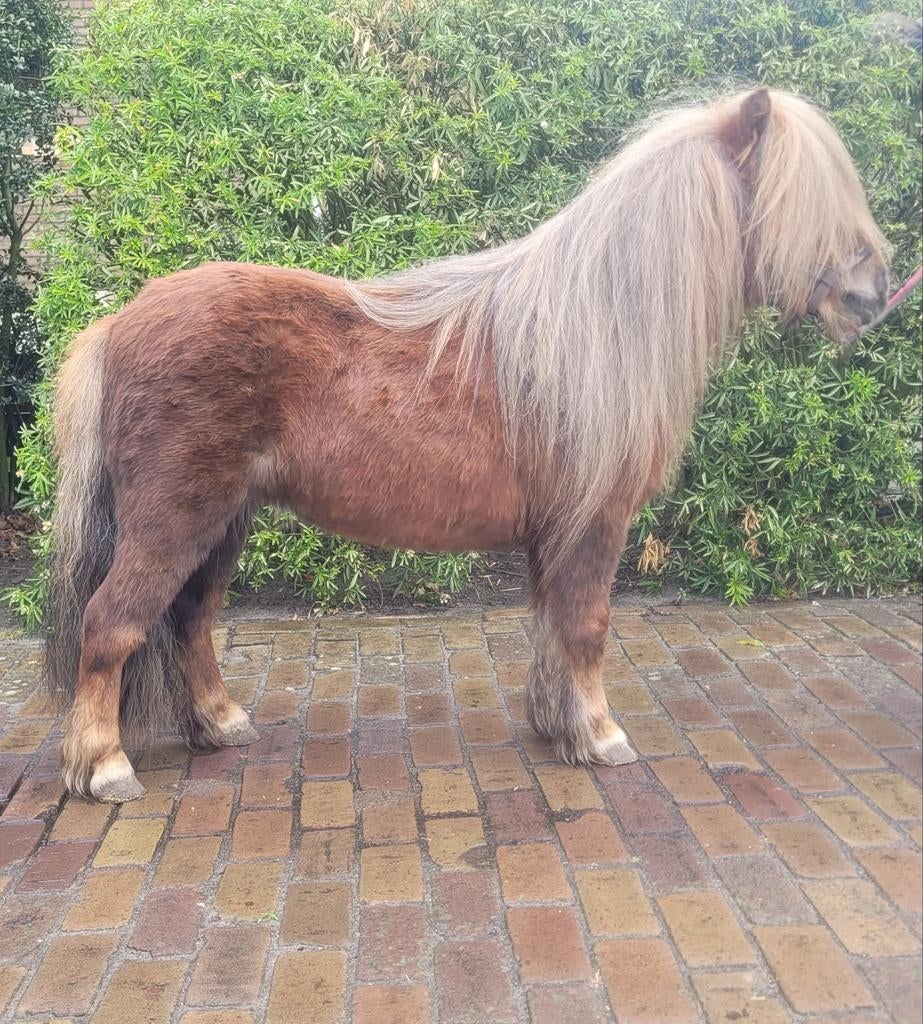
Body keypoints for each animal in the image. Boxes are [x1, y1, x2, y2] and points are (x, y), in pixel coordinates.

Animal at [47, 86, 890, 802]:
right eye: (799, 201)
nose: (870, 296)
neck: (593, 326)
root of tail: (119, 322)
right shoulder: (595, 523)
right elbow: (585, 625)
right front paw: (600, 735)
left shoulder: (555, 531)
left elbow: (552, 626)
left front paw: (559, 728)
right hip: (174, 522)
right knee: (112, 622)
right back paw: (106, 767)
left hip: (222, 525)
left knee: (189, 619)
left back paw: (220, 726)